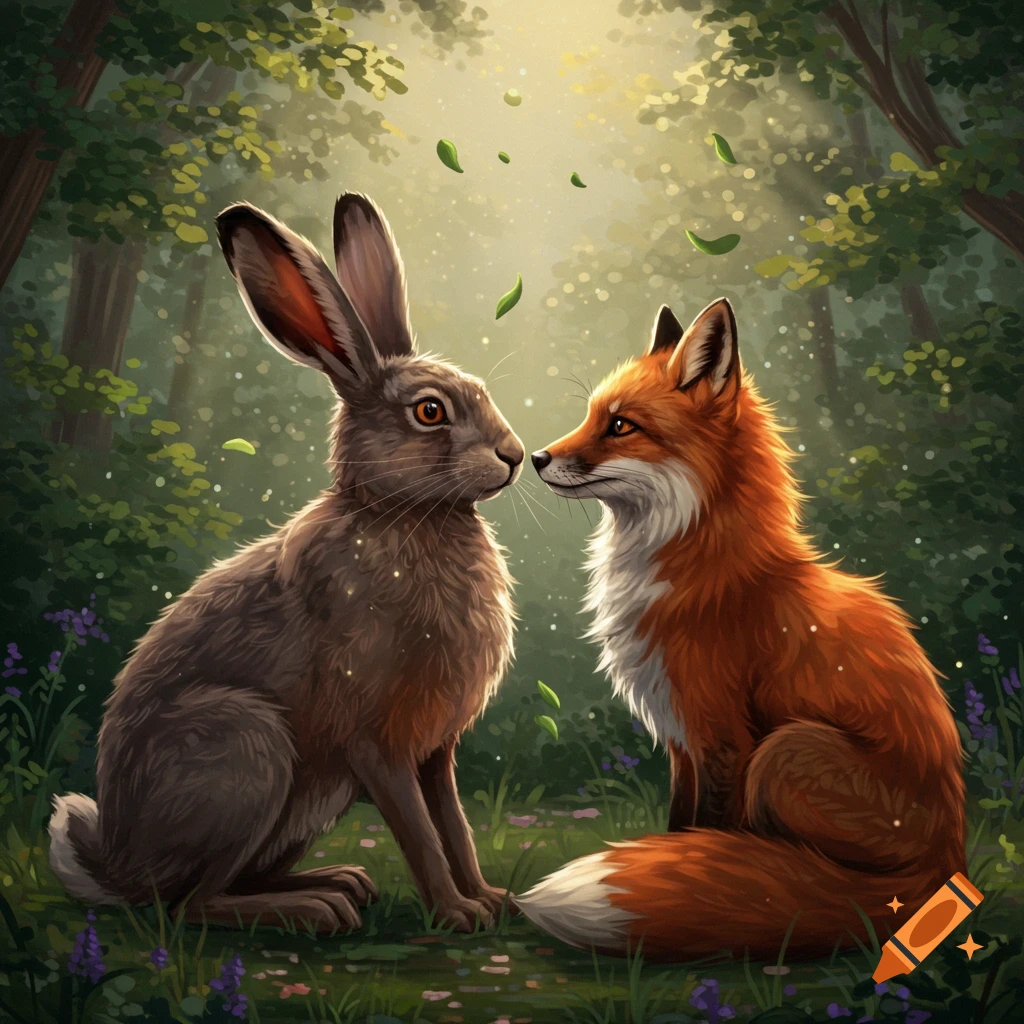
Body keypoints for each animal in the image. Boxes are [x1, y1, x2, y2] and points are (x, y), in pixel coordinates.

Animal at [48, 193, 525, 934]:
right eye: (429, 411)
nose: (515, 456)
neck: (401, 514)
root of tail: (117, 867)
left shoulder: (434, 752)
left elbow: (454, 825)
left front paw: (490, 900)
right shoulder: (376, 743)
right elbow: (420, 833)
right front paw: (456, 914)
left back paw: (341, 882)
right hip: (248, 750)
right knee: (190, 905)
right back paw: (317, 908)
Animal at [520, 297, 966, 961]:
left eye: (621, 426)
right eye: (591, 414)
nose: (536, 458)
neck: (706, 567)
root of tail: (946, 869)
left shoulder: (722, 735)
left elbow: (708, 833)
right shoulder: (682, 737)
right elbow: (682, 829)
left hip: (785, 751)